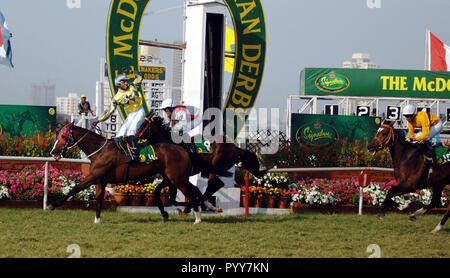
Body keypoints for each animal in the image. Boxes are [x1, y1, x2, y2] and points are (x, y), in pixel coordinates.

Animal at [49, 121, 204, 224]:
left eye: (63, 136)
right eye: (58, 136)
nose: (53, 152)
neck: (100, 151)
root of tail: (183, 150)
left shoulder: (94, 177)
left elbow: (74, 189)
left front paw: (52, 205)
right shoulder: (100, 181)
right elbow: (99, 200)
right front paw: (97, 220)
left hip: (178, 179)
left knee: (191, 193)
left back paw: (197, 218)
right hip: (171, 177)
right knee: (191, 191)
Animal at [134, 112, 268, 215]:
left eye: (143, 125)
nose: (134, 137)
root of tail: (235, 148)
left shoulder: (175, 178)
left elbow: (181, 194)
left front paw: (186, 207)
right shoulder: (169, 178)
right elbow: (164, 194)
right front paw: (166, 212)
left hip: (214, 166)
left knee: (215, 184)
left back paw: (200, 205)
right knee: (213, 185)